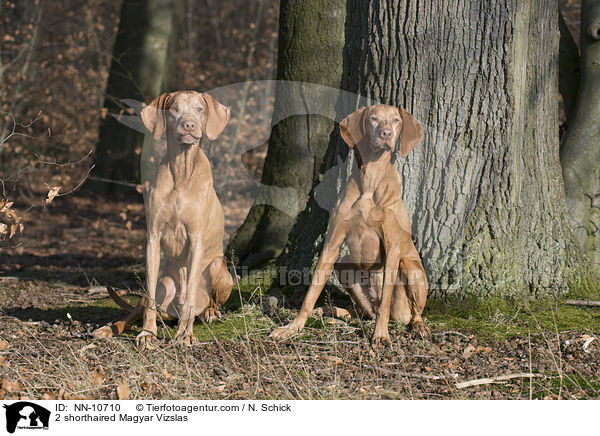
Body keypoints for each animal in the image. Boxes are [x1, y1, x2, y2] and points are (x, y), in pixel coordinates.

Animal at [95, 90, 233, 346]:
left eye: (200, 109)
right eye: (174, 109)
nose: (189, 125)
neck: (181, 171)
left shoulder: (196, 240)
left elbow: (190, 294)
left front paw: (185, 335)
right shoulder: (153, 238)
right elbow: (148, 297)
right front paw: (147, 333)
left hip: (219, 268)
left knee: (207, 300)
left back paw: (209, 313)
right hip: (164, 284)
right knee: (137, 309)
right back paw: (110, 328)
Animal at [272, 104, 432, 346]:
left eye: (396, 120)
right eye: (373, 118)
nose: (386, 133)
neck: (372, 178)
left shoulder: (393, 247)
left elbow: (386, 300)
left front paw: (381, 335)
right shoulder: (333, 243)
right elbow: (311, 292)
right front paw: (293, 327)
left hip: (411, 269)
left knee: (407, 311)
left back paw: (417, 326)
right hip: (345, 265)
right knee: (364, 312)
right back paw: (334, 313)